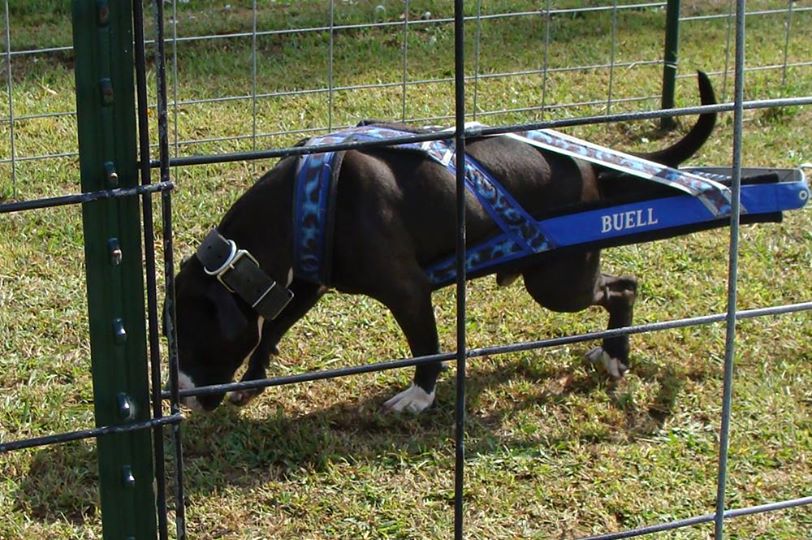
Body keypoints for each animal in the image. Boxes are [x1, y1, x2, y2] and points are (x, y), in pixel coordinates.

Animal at [170, 70, 716, 410]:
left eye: (194, 335)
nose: (180, 393)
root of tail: (589, 165)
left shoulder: (407, 290)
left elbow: (426, 346)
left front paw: (420, 396)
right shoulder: (300, 285)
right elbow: (273, 329)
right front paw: (251, 383)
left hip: (559, 280)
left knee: (623, 285)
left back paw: (616, 355)